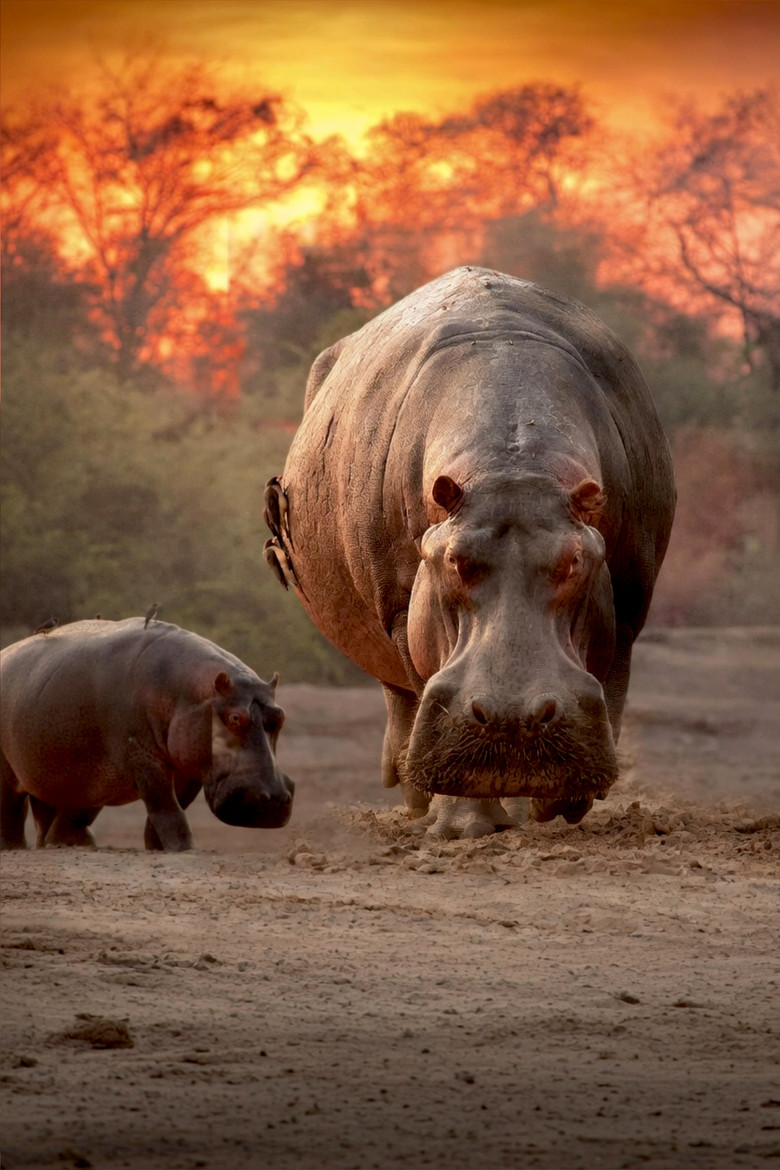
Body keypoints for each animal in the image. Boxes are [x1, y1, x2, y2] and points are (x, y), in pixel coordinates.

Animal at [0, 618, 294, 850]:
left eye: (280, 716)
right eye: (235, 718)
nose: (274, 799)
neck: (189, 691)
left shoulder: (188, 767)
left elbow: (173, 807)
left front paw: (158, 847)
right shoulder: (142, 759)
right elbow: (165, 806)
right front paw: (184, 848)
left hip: (81, 778)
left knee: (62, 817)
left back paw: (72, 844)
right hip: (13, 773)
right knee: (12, 811)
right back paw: (15, 847)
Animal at [264, 267, 675, 837]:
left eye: (576, 560)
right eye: (452, 560)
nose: (511, 718)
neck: (512, 466)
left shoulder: (629, 605)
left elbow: (608, 689)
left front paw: (560, 802)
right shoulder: (402, 607)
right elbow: (424, 680)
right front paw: (463, 826)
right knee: (401, 700)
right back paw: (418, 800)